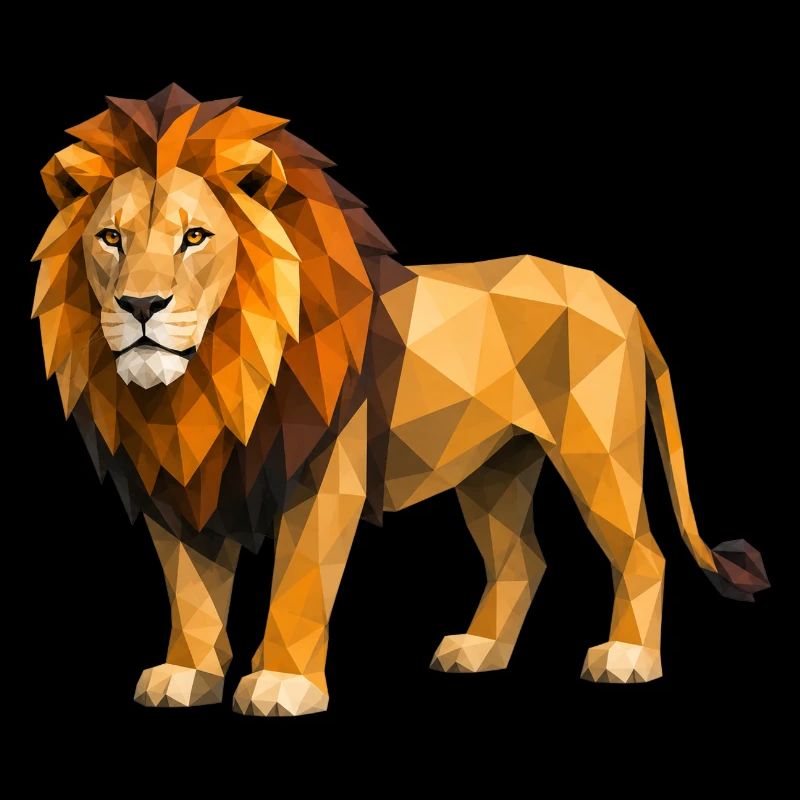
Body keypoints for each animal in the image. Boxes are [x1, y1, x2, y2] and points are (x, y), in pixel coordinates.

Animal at [33, 85, 769, 716]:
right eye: (110, 238)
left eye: (194, 237)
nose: (141, 305)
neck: (211, 380)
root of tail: (624, 301)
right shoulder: (175, 481)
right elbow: (190, 593)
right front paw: (186, 675)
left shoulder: (323, 477)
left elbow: (298, 583)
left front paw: (281, 685)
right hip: (494, 469)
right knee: (521, 560)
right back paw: (479, 650)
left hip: (597, 453)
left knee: (643, 551)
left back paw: (626, 657)